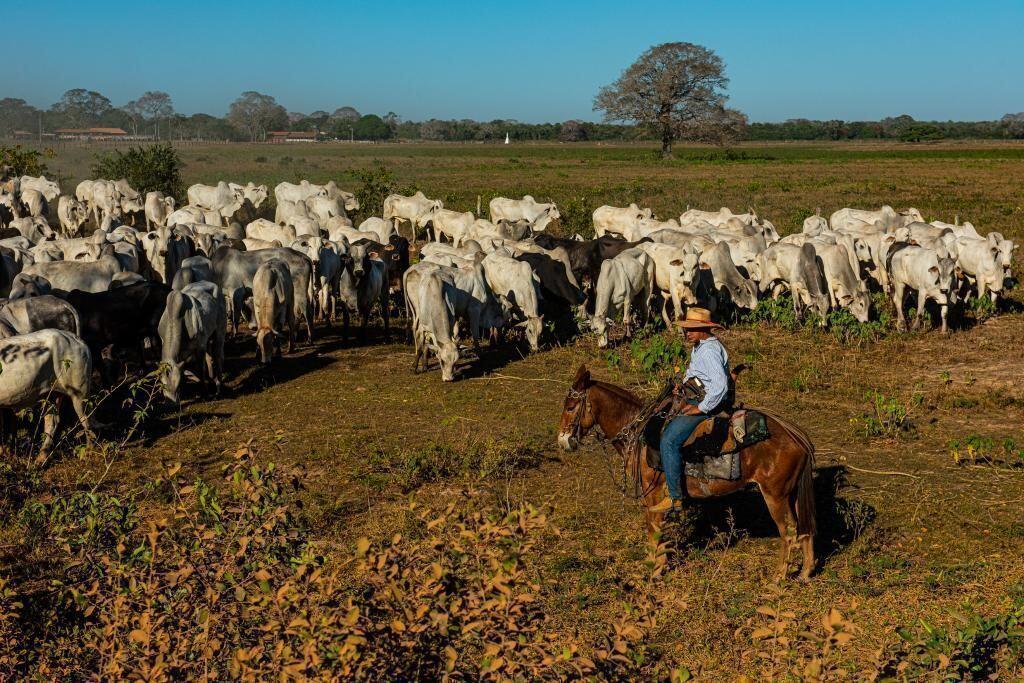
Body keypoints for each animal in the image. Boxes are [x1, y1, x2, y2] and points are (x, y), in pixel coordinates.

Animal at [561, 366, 815, 585]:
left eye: (571, 406)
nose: (563, 441)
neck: (639, 433)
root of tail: (796, 436)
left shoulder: (653, 496)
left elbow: (654, 532)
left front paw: (653, 571)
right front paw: (658, 565)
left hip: (775, 495)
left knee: (789, 531)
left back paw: (778, 577)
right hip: (791, 493)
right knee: (805, 528)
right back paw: (804, 572)